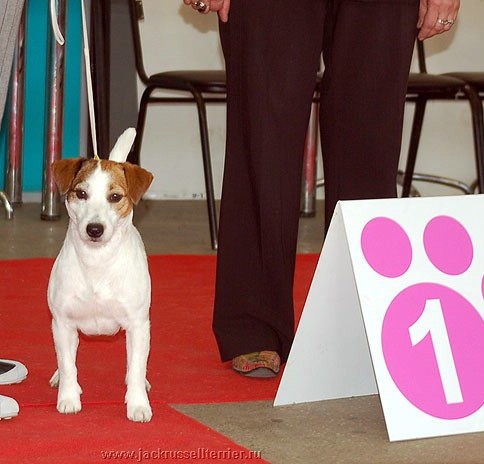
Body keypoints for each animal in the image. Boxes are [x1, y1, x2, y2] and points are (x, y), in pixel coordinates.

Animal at [47, 129, 153, 422]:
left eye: (115, 197)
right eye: (81, 193)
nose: (94, 229)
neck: (97, 263)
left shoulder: (138, 325)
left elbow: (136, 368)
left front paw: (138, 404)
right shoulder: (62, 323)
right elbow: (68, 365)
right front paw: (69, 397)